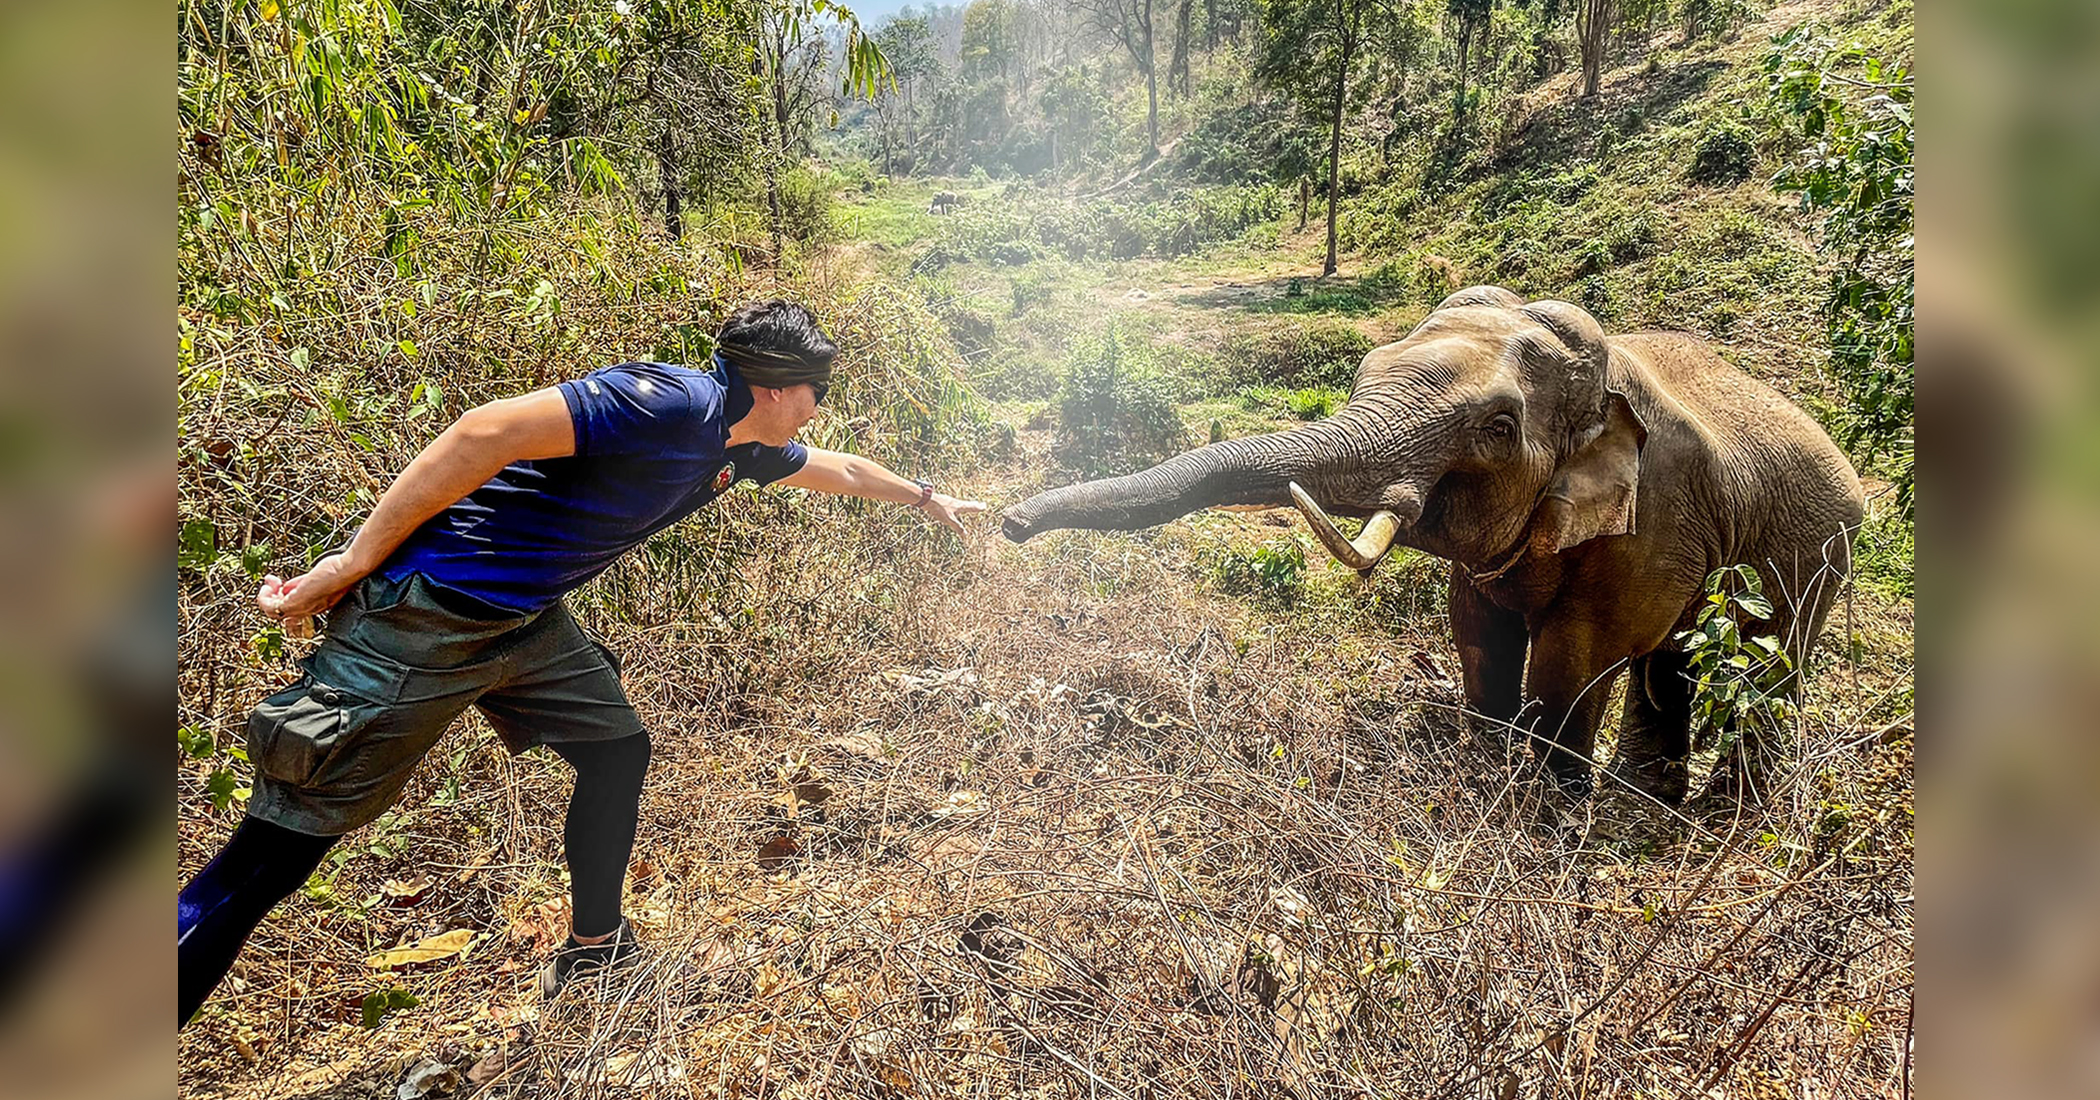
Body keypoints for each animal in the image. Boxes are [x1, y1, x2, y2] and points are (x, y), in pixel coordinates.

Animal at [1002, 286, 1864, 802]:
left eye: (1499, 428)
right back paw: (1651, 798)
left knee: (1769, 670)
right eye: (1364, 372)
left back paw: (1721, 811)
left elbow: (1577, 658)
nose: (1009, 522)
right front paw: (1487, 762)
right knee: (1672, 666)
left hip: (1820, 550)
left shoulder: (1653, 520)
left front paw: (1549, 807)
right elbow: (1477, 629)